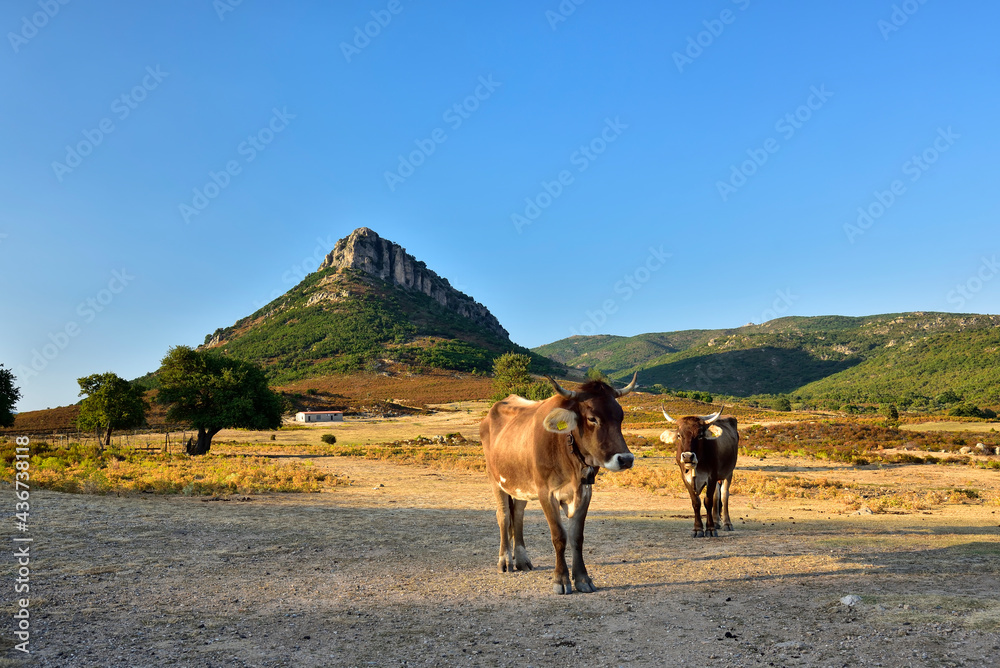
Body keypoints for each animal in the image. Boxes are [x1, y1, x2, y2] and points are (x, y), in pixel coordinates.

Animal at [480, 373, 637, 594]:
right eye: (592, 418)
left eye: (620, 417)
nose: (626, 459)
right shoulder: (546, 493)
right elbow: (559, 536)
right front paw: (561, 579)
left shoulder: (584, 492)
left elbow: (576, 536)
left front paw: (582, 578)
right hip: (495, 479)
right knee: (503, 516)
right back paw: (505, 561)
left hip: (521, 484)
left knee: (517, 515)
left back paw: (522, 560)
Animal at [660, 408, 739, 538]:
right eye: (679, 435)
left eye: (700, 435)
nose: (687, 456)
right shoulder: (685, 478)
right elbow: (696, 502)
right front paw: (698, 529)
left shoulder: (712, 476)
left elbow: (708, 501)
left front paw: (710, 529)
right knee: (717, 496)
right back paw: (716, 522)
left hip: (728, 473)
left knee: (724, 495)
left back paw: (727, 523)